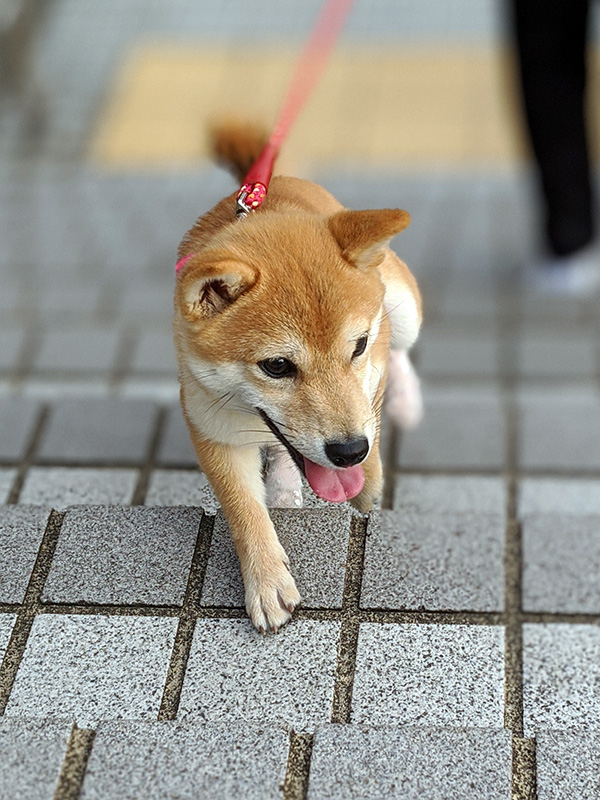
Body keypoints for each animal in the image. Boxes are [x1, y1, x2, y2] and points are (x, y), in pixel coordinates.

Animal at [173, 125, 422, 636]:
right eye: (276, 366)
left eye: (358, 346)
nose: (349, 451)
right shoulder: (212, 427)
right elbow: (243, 509)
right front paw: (266, 581)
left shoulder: (375, 363)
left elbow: (370, 410)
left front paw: (369, 484)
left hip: (404, 308)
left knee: (403, 352)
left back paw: (408, 401)